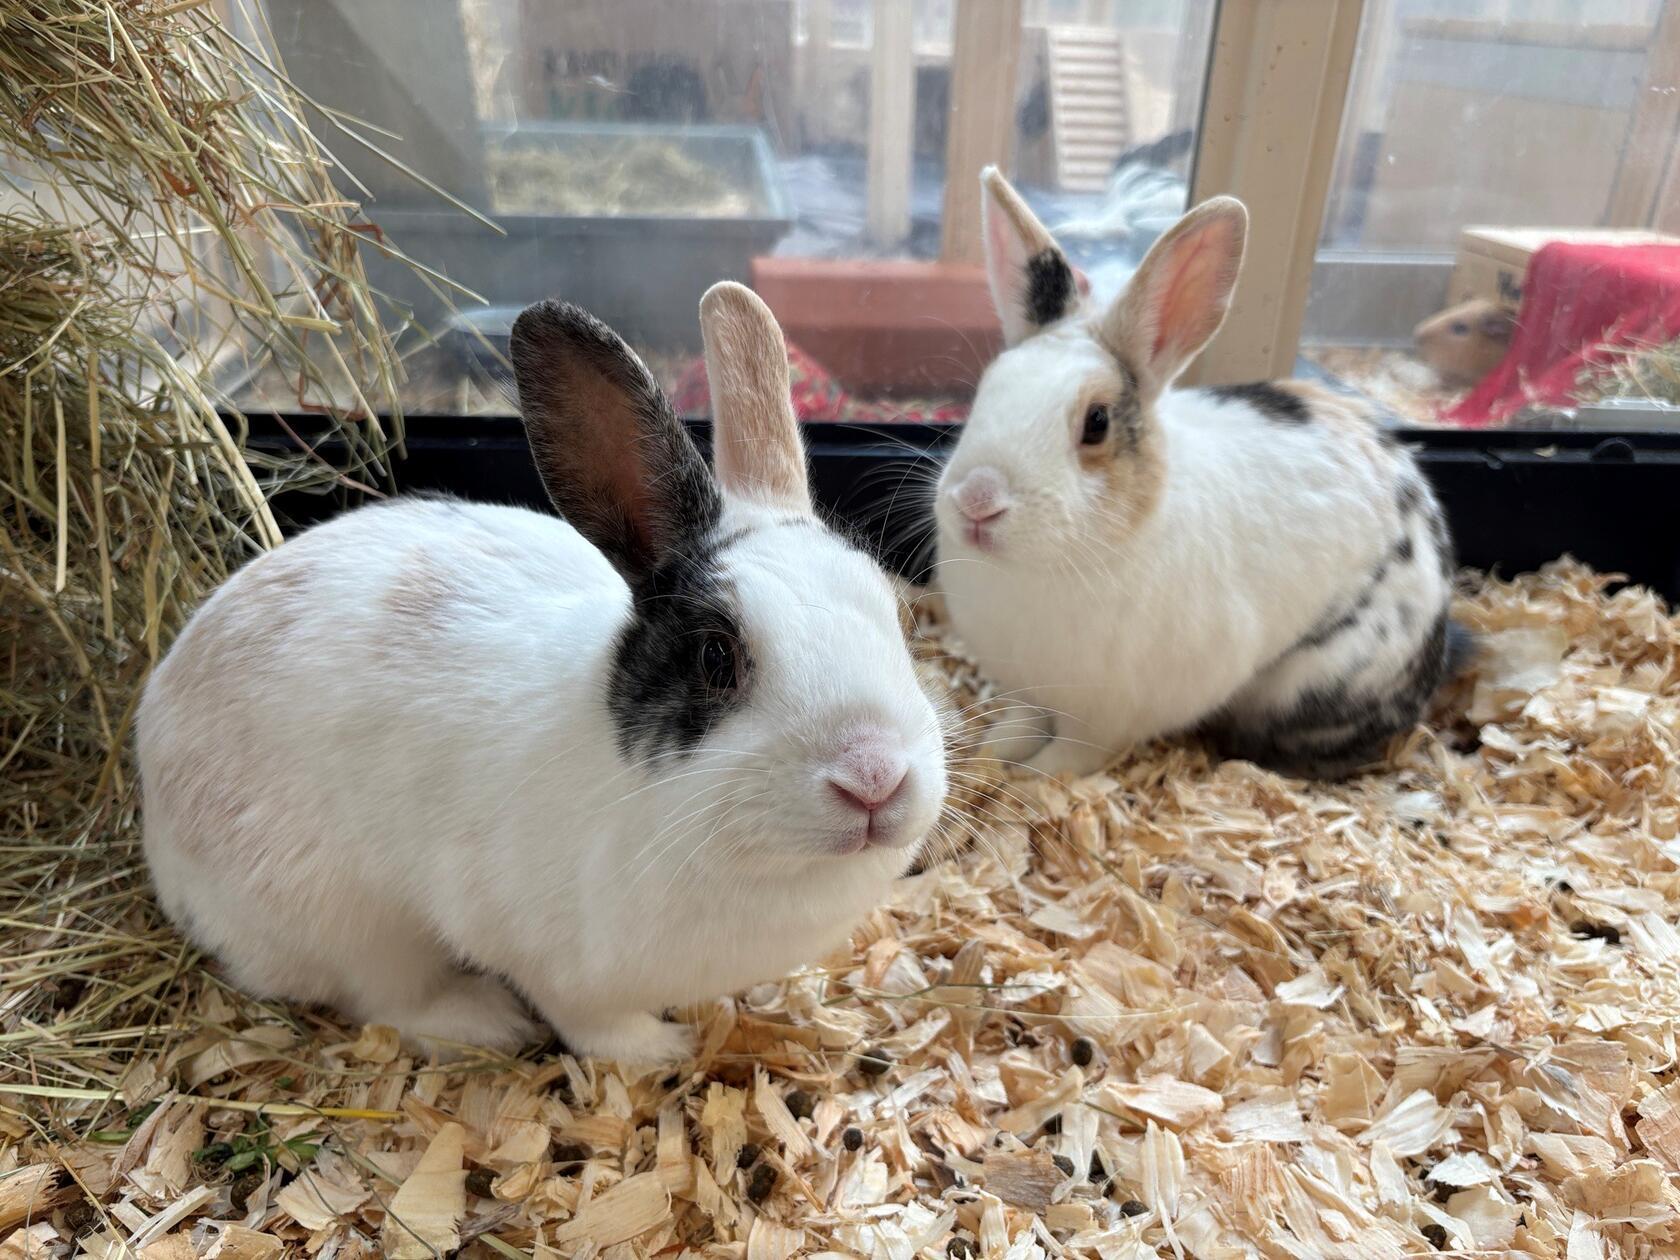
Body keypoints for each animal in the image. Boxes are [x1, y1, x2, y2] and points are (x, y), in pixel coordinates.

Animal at [137, 282, 949, 1065]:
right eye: (716, 656)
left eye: (898, 617)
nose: (874, 777)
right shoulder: (553, 962)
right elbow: (594, 1025)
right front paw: (664, 1050)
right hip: (350, 924)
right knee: (386, 999)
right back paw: (484, 1021)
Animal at [933, 168, 1470, 781]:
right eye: (985, 391)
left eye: (1096, 423)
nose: (977, 501)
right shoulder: (1026, 687)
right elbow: (1021, 720)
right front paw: (994, 752)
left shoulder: (1102, 720)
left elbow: (1069, 755)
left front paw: (1027, 781)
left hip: (1316, 682)